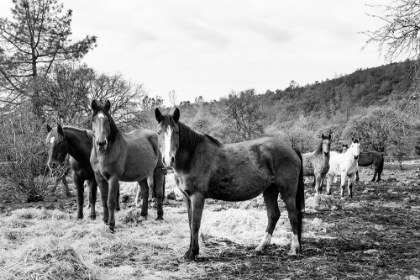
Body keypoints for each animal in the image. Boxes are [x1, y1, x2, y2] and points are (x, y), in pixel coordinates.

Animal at [90, 100, 166, 232]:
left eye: (107, 120)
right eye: (94, 120)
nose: (101, 143)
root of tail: (155, 134)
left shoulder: (113, 178)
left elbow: (111, 201)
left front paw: (111, 225)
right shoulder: (99, 178)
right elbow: (104, 200)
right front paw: (105, 221)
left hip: (158, 170)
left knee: (159, 192)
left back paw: (159, 216)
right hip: (141, 174)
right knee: (145, 191)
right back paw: (143, 215)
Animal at [154, 108, 306, 262]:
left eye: (176, 132)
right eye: (159, 132)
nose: (168, 160)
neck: (192, 157)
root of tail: (291, 148)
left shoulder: (197, 197)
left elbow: (195, 224)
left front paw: (193, 253)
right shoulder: (187, 197)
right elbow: (190, 224)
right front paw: (189, 252)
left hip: (287, 191)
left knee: (293, 216)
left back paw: (294, 249)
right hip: (270, 190)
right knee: (273, 215)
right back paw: (261, 247)